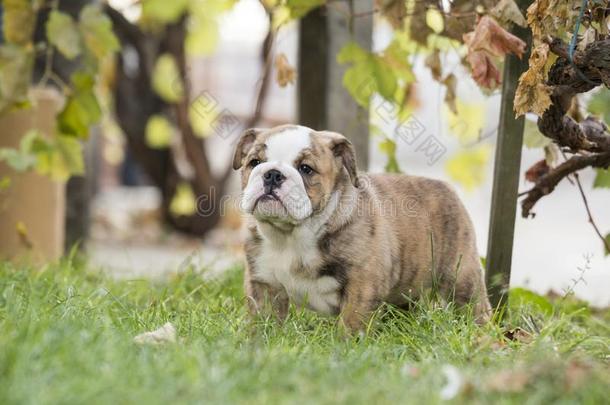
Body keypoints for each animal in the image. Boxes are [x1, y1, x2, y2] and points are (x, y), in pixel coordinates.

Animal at [232, 124, 490, 330]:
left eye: (306, 169)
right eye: (254, 162)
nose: (272, 174)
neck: (291, 235)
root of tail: (447, 188)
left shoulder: (362, 285)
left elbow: (351, 323)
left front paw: (346, 348)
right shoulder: (263, 284)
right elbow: (262, 321)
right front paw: (258, 342)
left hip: (461, 279)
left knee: (474, 308)